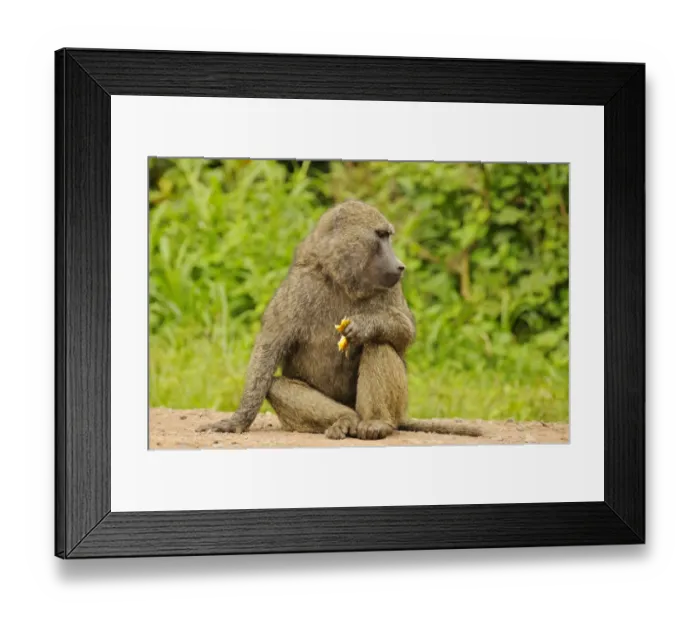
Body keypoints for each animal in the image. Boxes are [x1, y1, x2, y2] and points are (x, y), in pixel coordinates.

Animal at [197, 200, 482, 441]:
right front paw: (237, 420)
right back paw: (344, 421)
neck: (342, 280)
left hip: (398, 404)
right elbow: (269, 347)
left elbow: (405, 331)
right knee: (276, 386)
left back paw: (376, 423)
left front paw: (364, 326)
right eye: (381, 235)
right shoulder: (299, 285)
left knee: (378, 345)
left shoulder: (392, 288)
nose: (400, 266)